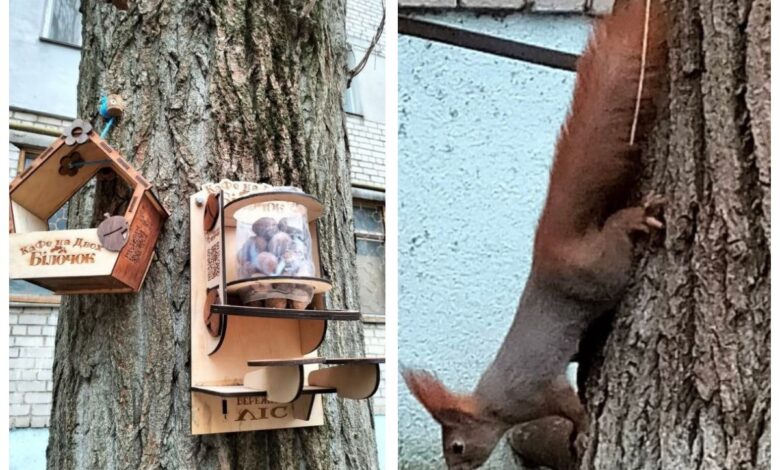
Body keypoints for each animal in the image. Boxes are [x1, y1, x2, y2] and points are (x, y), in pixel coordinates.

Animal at [406, 0, 668, 470]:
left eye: (456, 447)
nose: (454, 467)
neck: (494, 403)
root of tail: (554, 248)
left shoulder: (536, 389)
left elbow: (569, 406)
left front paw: (583, 428)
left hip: (603, 270)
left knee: (615, 239)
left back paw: (634, 219)